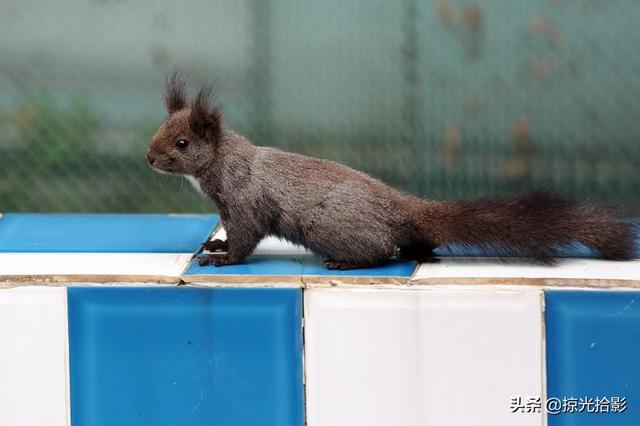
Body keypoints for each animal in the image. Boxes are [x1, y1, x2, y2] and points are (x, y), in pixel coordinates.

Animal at [146, 72, 636, 266]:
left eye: (182, 143)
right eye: (160, 129)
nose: (149, 158)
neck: (225, 162)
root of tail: (406, 209)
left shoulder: (246, 202)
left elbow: (246, 238)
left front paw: (223, 257)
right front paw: (216, 245)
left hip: (336, 228)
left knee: (382, 250)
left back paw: (347, 262)